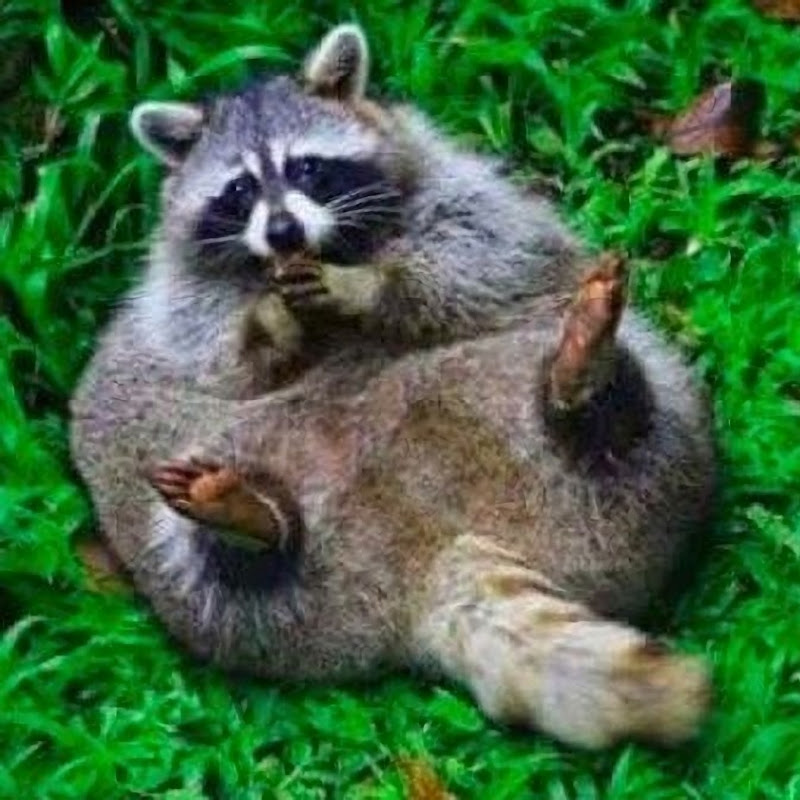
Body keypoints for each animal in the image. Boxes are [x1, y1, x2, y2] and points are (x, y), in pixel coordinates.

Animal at [70, 25, 716, 749]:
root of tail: (431, 558)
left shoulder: (449, 179)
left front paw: (371, 285)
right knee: (221, 561)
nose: (283, 232)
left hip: (628, 450)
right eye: (238, 189)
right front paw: (268, 322)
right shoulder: (179, 289)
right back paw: (247, 520)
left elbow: (485, 249)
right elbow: (210, 347)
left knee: (626, 422)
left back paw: (586, 386)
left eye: (306, 168)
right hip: (227, 588)